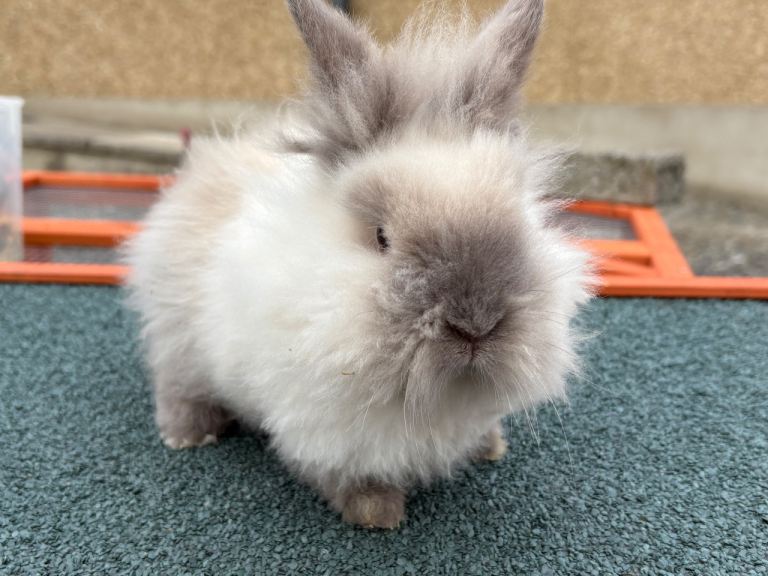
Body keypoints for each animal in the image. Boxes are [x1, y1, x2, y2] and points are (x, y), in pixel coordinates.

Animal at [125, 0, 592, 529]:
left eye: (522, 221)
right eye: (382, 238)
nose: (476, 325)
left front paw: (489, 446)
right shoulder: (321, 431)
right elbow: (345, 474)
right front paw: (376, 513)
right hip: (178, 341)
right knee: (177, 387)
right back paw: (186, 436)